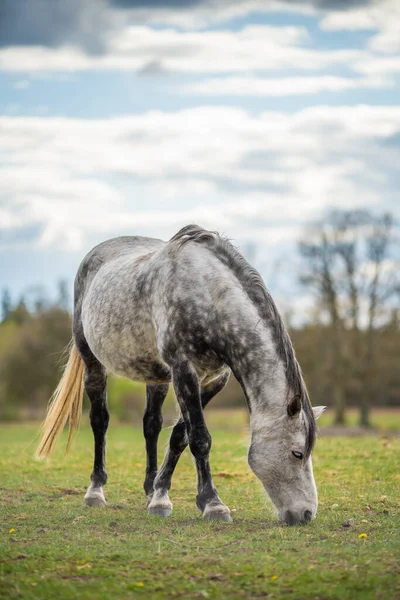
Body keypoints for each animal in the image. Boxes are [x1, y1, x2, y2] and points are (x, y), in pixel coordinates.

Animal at [36, 223, 324, 524]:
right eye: (297, 453)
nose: (306, 513)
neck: (209, 295)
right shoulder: (183, 369)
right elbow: (200, 438)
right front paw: (213, 504)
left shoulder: (212, 380)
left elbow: (179, 436)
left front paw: (162, 496)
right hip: (92, 360)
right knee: (99, 421)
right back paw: (95, 491)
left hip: (156, 376)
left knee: (151, 424)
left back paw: (149, 490)